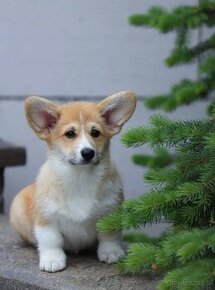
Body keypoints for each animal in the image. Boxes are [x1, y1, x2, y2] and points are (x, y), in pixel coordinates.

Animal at [9, 90, 136, 272]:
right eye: (70, 134)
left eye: (95, 133)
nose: (88, 153)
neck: (80, 177)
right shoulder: (47, 218)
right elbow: (51, 241)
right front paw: (52, 260)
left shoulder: (110, 211)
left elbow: (109, 236)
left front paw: (111, 252)